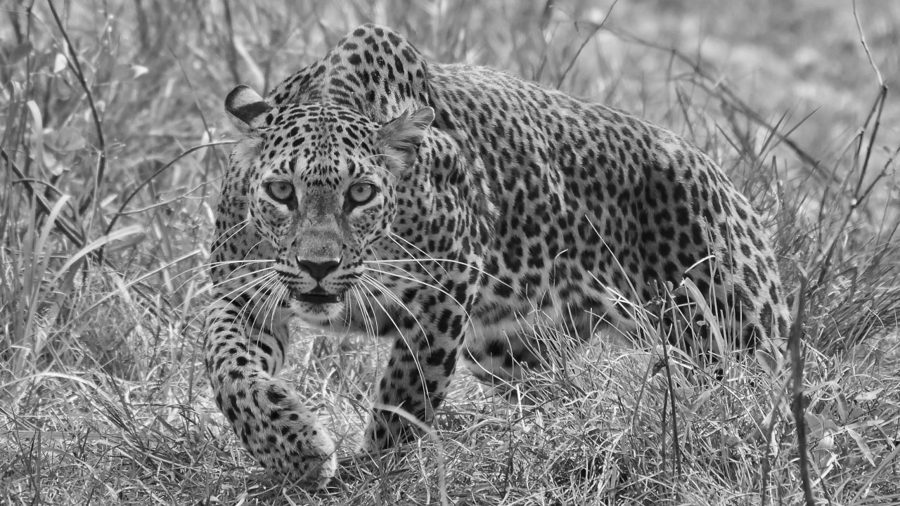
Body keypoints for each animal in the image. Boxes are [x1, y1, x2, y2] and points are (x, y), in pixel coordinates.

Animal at [204, 23, 789, 486]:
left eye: (361, 193)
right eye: (282, 191)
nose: (318, 267)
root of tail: (721, 175)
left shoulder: (442, 298)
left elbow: (405, 396)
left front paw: (370, 472)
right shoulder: (242, 294)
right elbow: (228, 368)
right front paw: (295, 448)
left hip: (730, 329)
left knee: (764, 394)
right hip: (510, 348)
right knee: (566, 391)